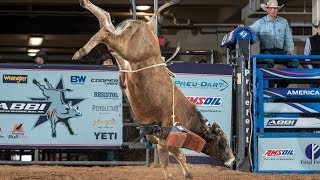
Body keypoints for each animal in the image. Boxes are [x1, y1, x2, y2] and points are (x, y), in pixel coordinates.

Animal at [73, 0, 235, 179]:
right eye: (222, 142)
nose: (232, 160)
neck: (188, 118)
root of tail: (147, 25)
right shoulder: (167, 136)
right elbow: (178, 156)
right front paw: (181, 175)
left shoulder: (155, 137)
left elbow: (169, 158)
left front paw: (178, 175)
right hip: (129, 50)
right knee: (107, 34)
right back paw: (81, 51)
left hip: (124, 52)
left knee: (107, 21)